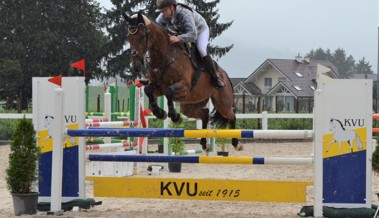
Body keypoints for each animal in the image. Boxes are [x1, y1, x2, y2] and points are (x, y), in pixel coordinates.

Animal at [124, 11, 243, 152]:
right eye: (128, 37)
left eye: (142, 36)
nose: (136, 66)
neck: (165, 56)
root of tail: (225, 75)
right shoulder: (157, 88)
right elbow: (148, 90)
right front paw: (160, 113)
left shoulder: (184, 87)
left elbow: (169, 92)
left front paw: (174, 117)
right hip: (190, 104)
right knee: (205, 114)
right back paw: (204, 144)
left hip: (222, 103)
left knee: (232, 115)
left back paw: (236, 143)